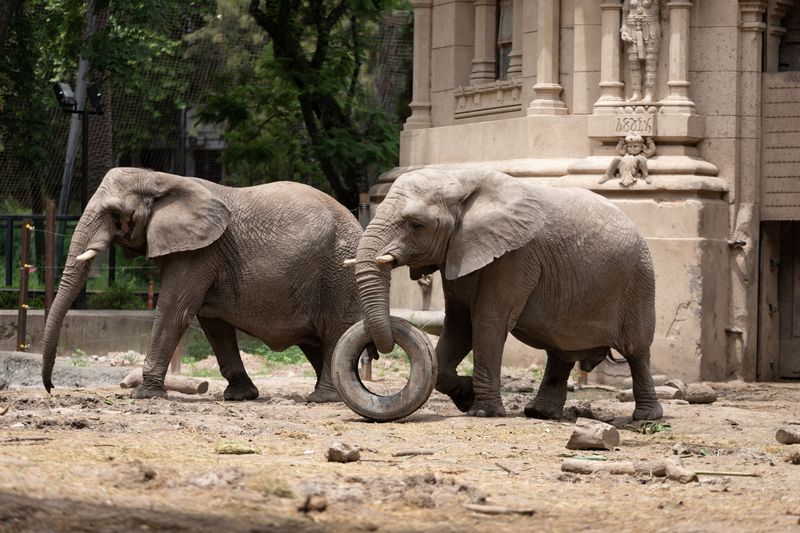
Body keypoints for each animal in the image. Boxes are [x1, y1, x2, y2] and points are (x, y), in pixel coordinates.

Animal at [40, 168, 360, 402]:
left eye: (115, 215)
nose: (51, 389)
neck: (158, 178)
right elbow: (212, 321)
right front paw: (240, 396)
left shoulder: (199, 253)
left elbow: (174, 311)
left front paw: (145, 394)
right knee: (314, 341)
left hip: (338, 274)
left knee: (334, 332)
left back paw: (322, 398)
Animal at [354, 168, 664, 422]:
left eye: (416, 224)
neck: (461, 177)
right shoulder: (460, 251)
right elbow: (459, 325)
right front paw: (466, 396)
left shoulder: (515, 257)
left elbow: (487, 322)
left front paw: (482, 412)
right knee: (560, 351)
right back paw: (540, 413)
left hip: (640, 281)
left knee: (637, 350)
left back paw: (647, 417)